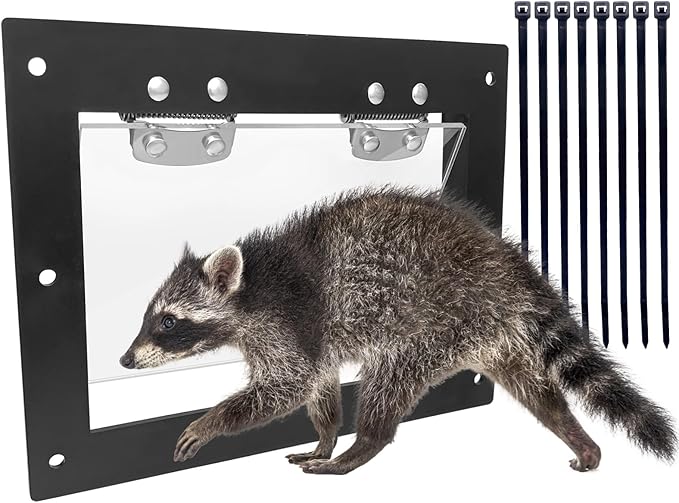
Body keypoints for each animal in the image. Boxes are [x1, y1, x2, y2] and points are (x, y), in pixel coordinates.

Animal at [120, 186, 676, 474]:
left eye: (168, 321)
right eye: (150, 317)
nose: (125, 359)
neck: (252, 286)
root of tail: (507, 265)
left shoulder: (288, 324)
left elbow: (286, 387)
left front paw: (212, 421)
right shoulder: (306, 341)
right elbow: (318, 386)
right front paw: (325, 436)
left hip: (434, 321)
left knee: (389, 381)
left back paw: (363, 446)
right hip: (488, 329)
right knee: (536, 389)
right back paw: (573, 431)